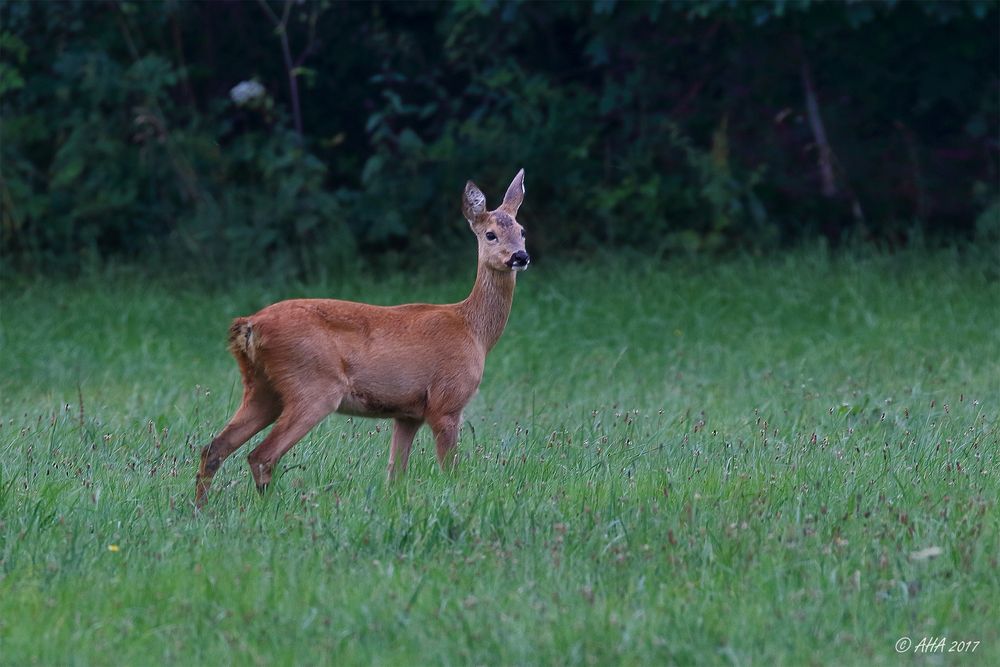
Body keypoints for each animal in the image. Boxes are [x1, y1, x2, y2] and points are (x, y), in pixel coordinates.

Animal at [190, 168, 528, 506]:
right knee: (261, 455)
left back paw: (201, 508)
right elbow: (450, 471)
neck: (473, 329)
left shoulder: (408, 414)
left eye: (522, 231)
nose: (520, 256)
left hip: (262, 388)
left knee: (214, 448)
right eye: (490, 234)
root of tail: (250, 325)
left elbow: (395, 474)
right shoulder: (446, 402)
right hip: (313, 386)